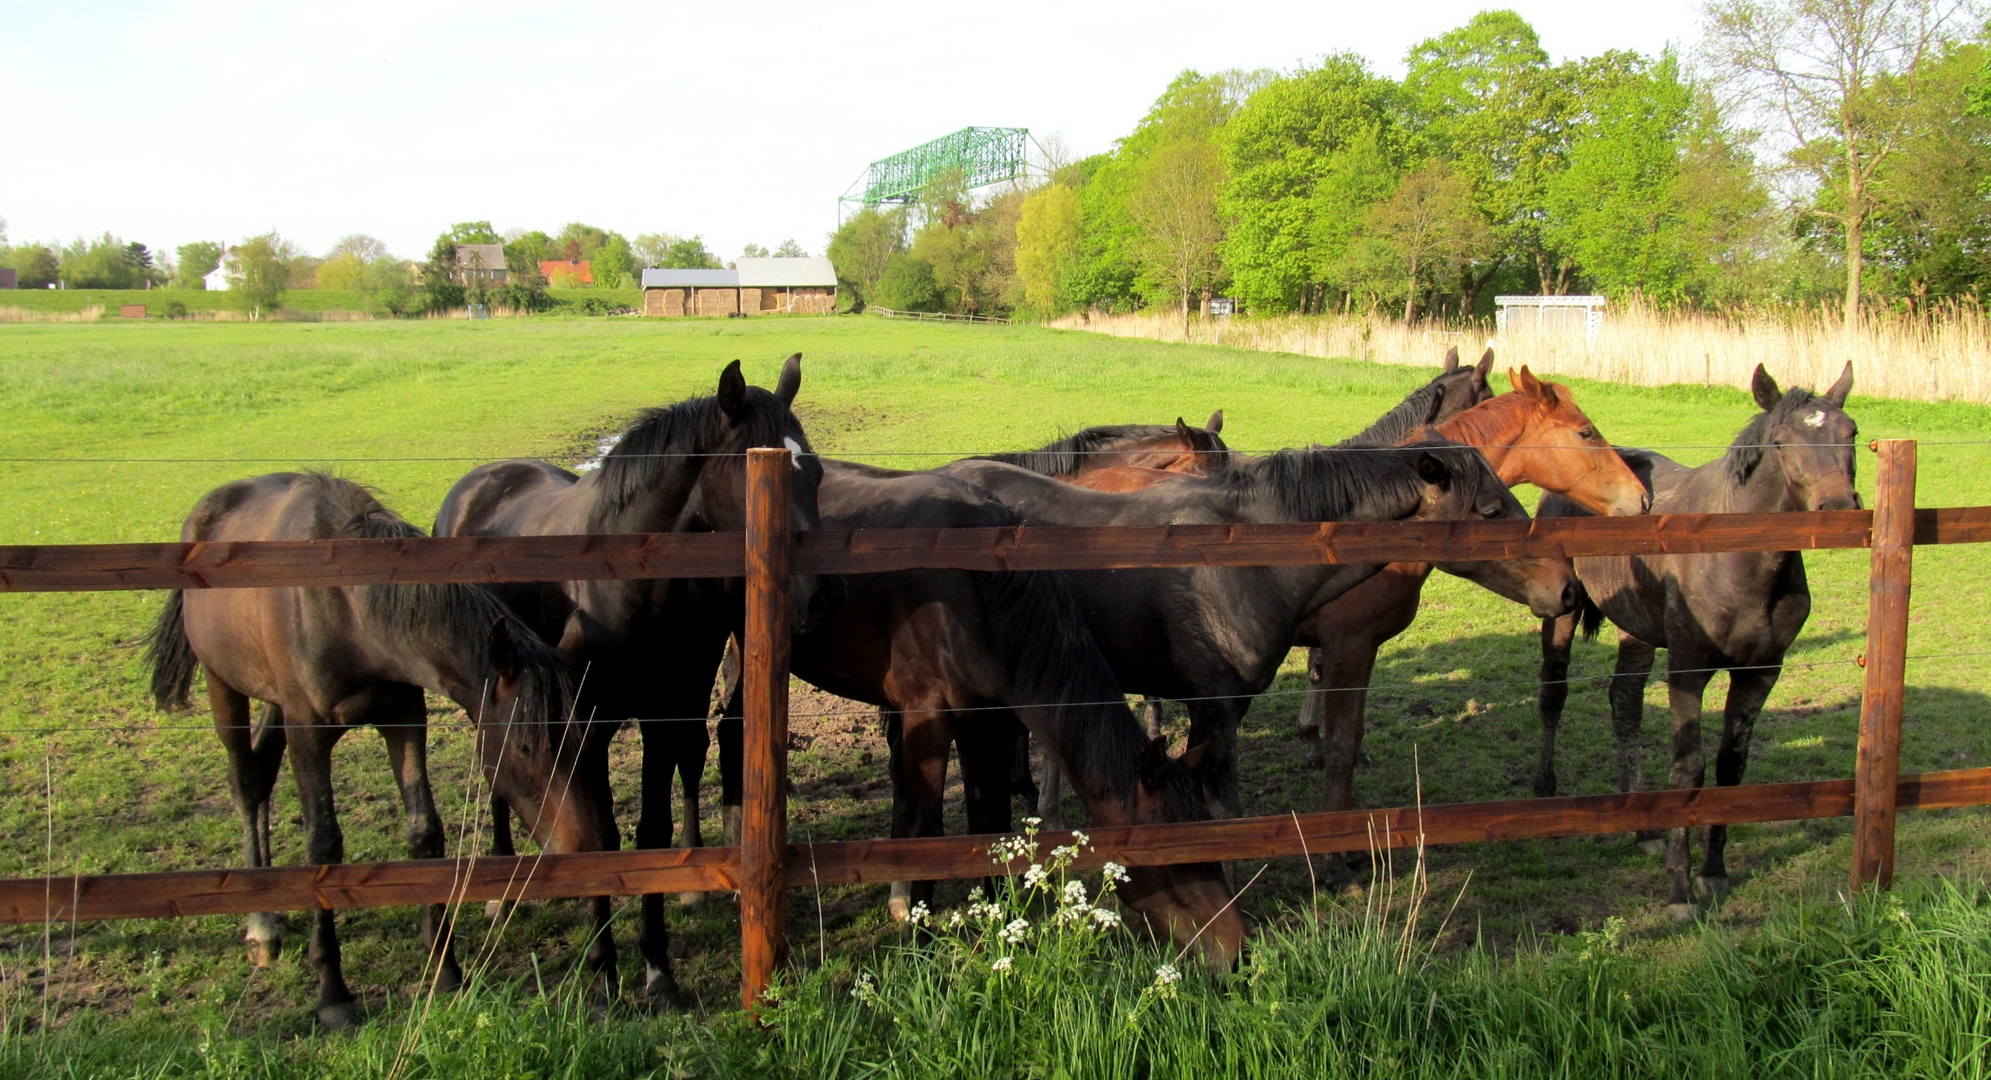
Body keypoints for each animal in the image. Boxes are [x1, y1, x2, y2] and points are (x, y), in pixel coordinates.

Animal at [147, 476, 597, 1036]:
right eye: (527, 746)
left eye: (583, 740)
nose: (584, 850)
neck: (347, 605)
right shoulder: (308, 731)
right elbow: (323, 846)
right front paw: (333, 994)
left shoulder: (403, 717)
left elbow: (424, 830)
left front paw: (445, 969)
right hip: (223, 685)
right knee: (246, 782)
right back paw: (262, 926)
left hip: (273, 702)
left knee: (263, 773)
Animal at [432, 358, 836, 1016]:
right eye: (754, 469)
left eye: (819, 471)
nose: (818, 599)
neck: (631, 579)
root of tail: (480, 482)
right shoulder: (584, 725)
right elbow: (597, 834)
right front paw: (604, 974)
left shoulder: (665, 712)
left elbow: (651, 832)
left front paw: (657, 970)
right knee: (496, 773)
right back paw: (497, 885)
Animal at [935, 436, 1568, 816]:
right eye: (1491, 511)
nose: (1566, 587)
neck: (1244, 559)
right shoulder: (1213, 707)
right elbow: (1225, 811)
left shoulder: (1227, 707)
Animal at [1529, 364, 1855, 916]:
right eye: (1781, 443)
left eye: (1851, 432)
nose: (1837, 508)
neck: (1737, 561)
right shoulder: (1688, 668)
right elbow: (1689, 768)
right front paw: (1681, 890)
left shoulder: (1761, 672)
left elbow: (1730, 766)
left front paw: (1714, 872)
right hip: (1562, 613)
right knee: (1554, 692)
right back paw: (1546, 792)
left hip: (1636, 627)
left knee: (1625, 704)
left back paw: (1642, 825)